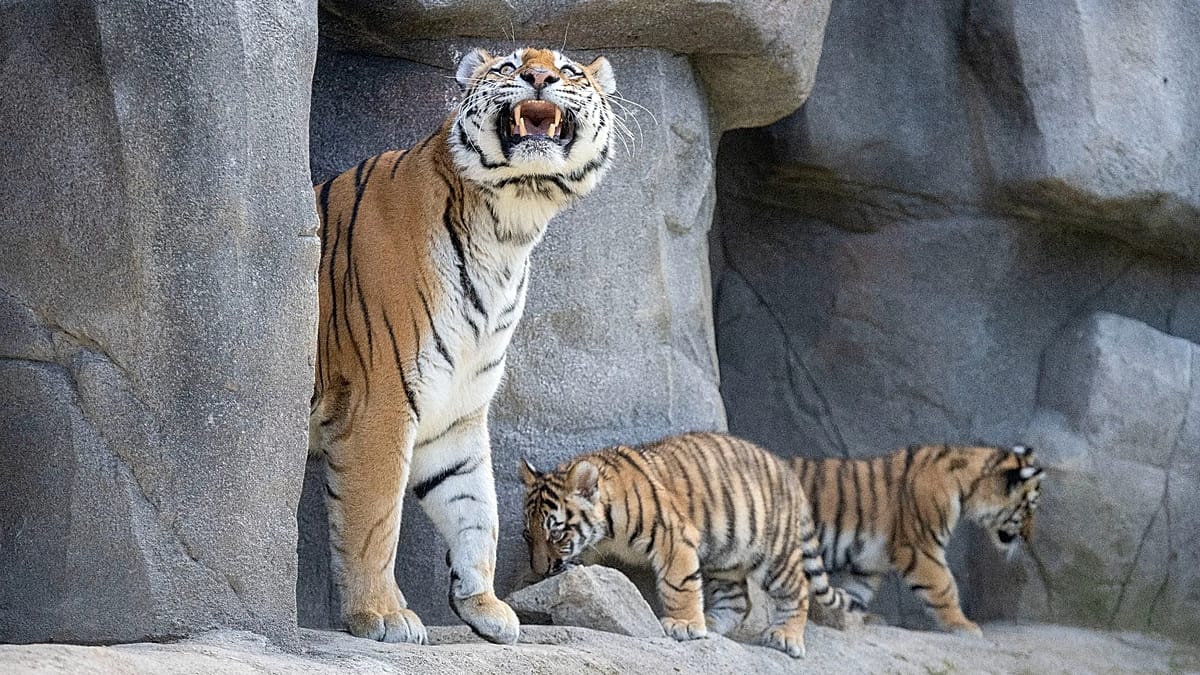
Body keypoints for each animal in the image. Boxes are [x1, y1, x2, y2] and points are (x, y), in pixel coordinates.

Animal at [308, 47, 618, 645]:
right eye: (509, 65)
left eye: (568, 70)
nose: (539, 75)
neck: (508, 228)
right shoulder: (379, 401)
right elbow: (375, 517)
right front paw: (381, 614)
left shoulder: (457, 410)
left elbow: (477, 508)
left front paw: (484, 605)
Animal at [520, 432, 855, 658]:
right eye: (528, 536)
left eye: (556, 534)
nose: (541, 568)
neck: (607, 529)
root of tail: (788, 471)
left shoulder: (673, 537)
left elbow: (678, 584)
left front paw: (682, 624)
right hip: (726, 555)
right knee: (739, 601)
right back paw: (711, 622)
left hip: (774, 555)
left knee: (797, 588)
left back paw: (786, 637)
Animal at [788, 443, 1044, 637]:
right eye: (1029, 508)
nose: (1029, 538)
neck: (967, 488)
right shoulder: (920, 549)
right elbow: (944, 587)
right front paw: (964, 626)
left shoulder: (869, 562)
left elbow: (856, 592)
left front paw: (853, 617)